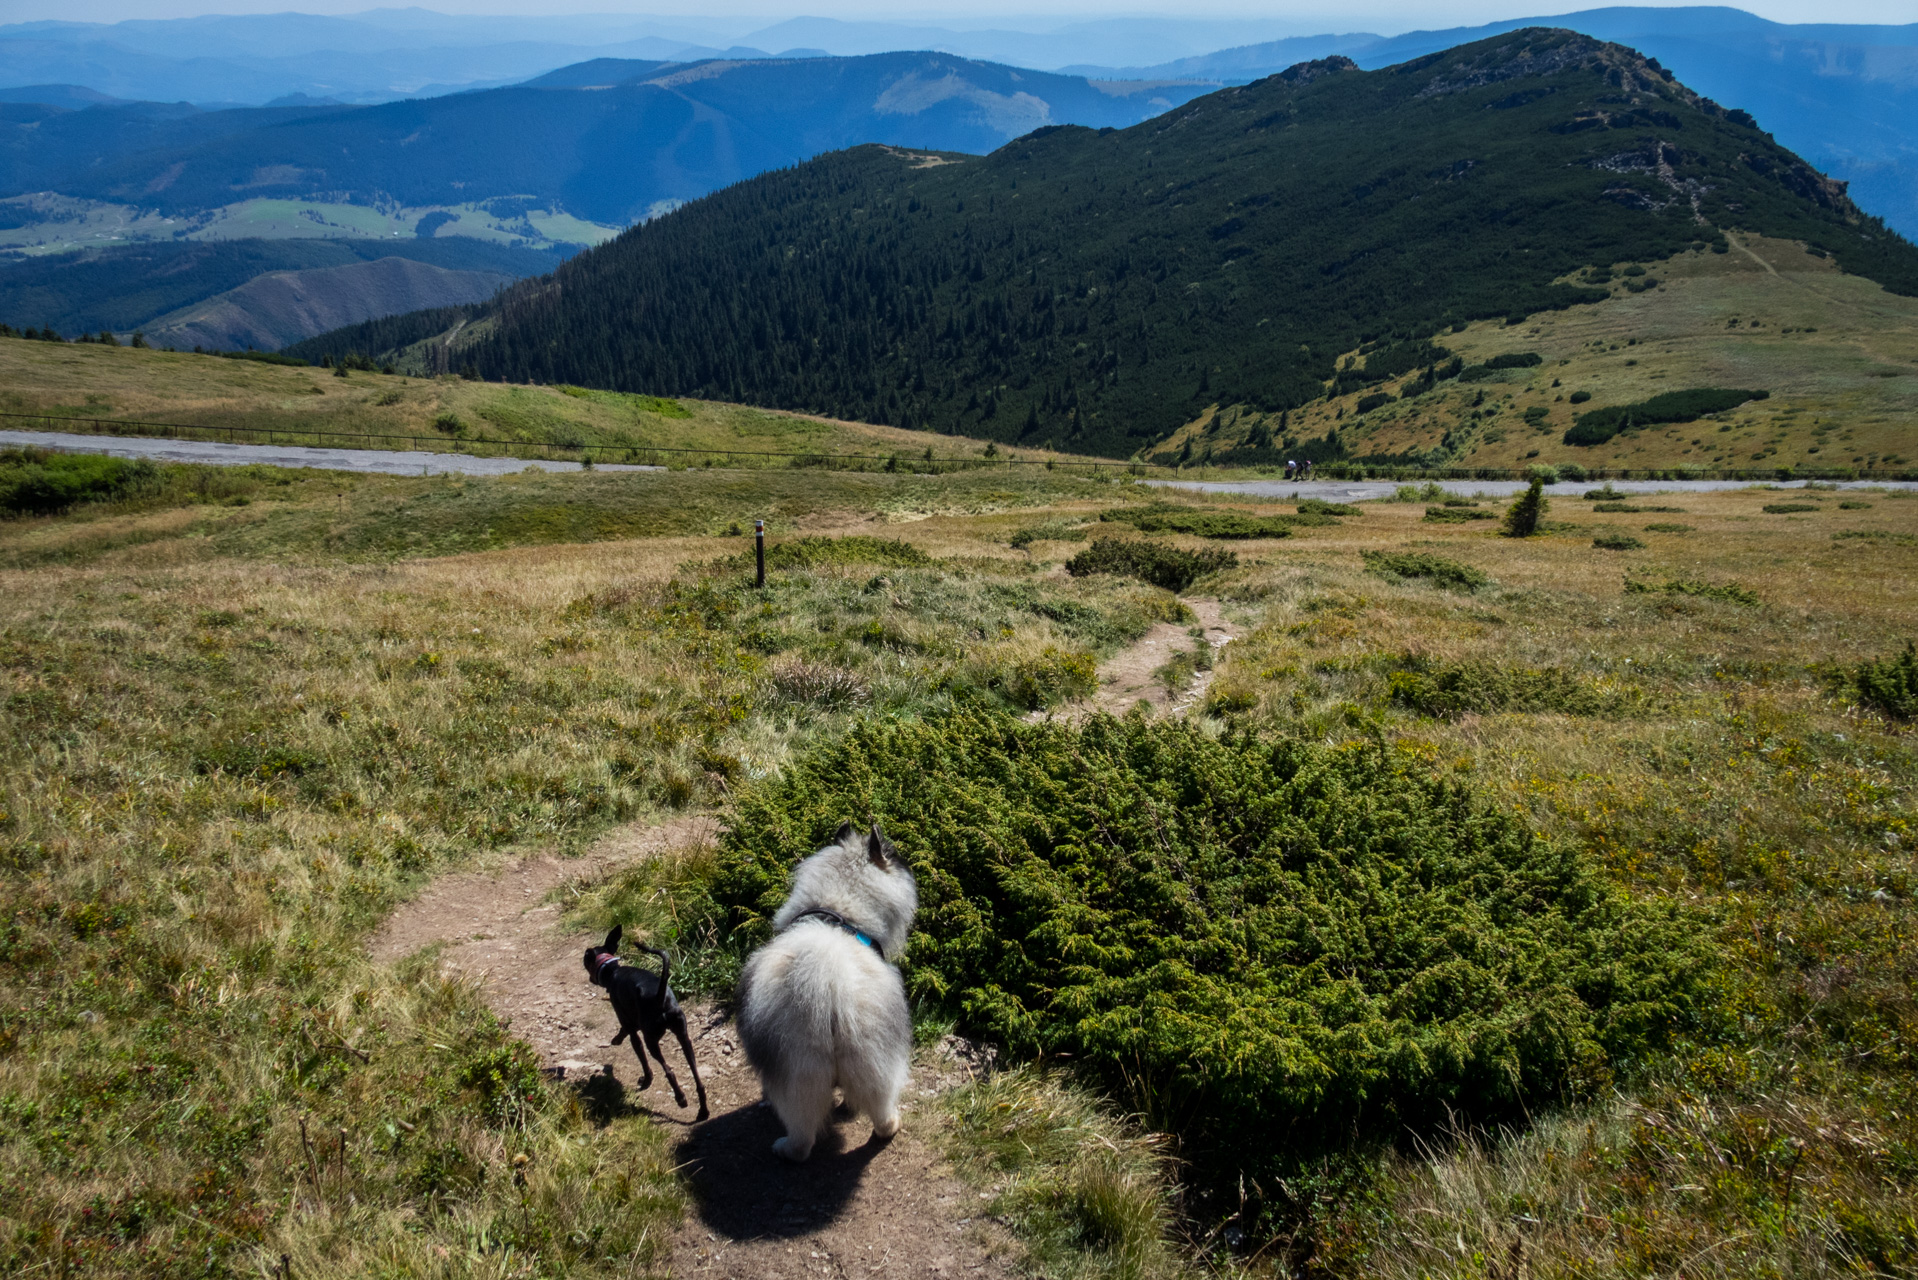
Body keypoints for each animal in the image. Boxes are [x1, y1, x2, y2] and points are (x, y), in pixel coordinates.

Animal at [583, 921, 713, 1120]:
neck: (613, 971)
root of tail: (660, 997)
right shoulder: (631, 1022)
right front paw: (616, 1039)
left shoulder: (630, 1027)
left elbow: (640, 1054)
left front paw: (647, 1079)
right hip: (684, 1037)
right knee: (697, 1078)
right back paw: (703, 1111)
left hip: (651, 1040)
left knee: (669, 1071)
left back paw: (681, 1099)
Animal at [732, 821, 912, 1159]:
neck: (838, 907)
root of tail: (828, 984)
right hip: (871, 1058)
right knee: (878, 1109)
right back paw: (888, 1124)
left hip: (798, 1071)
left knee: (804, 1133)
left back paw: (786, 1148)